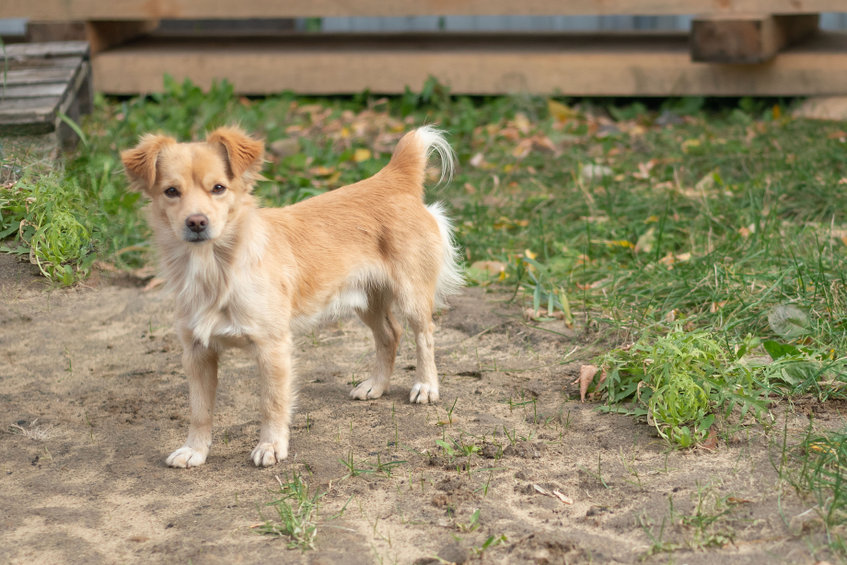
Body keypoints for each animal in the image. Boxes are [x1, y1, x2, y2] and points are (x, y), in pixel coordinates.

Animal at [121, 128, 460, 468]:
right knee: (390, 334)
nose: (196, 222)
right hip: (368, 299)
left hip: (410, 294)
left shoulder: (272, 347)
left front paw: (271, 446)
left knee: (424, 334)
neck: (216, 268)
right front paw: (195, 450)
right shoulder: (196, 352)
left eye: (218, 188)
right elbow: (199, 410)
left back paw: (426, 385)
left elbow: (272, 402)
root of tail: (392, 177)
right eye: (171, 191)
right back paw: (377, 385)